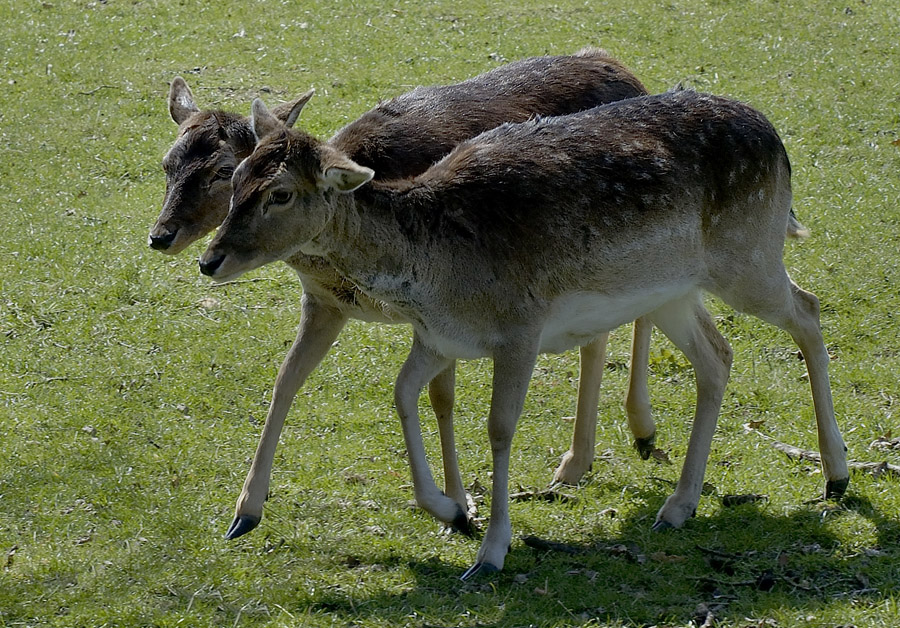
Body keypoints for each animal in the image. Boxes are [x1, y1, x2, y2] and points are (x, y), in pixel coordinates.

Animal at [202, 88, 852, 580]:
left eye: (281, 192)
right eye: (236, 177)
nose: (210, 260)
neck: (436, 271)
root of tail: (776, 138)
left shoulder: (520, 328)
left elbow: (499, 427)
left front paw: (490, 553)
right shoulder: (438, 339)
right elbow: (403, 393)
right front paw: (449, 509)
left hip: (749, 256)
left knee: (810, 310)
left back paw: (837, 474)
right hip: (674, 291)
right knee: (718, 355)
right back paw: (679, 505)